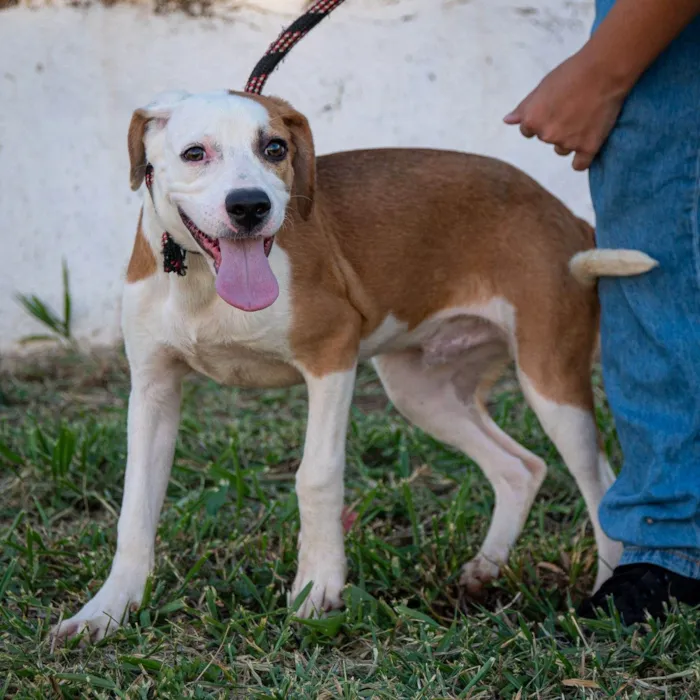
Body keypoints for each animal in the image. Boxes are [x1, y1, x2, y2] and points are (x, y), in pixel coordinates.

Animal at [50, 90, 656, 644]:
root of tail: (567, 214)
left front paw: (317, 588)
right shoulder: (153, 387)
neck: (202, 282)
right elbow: (135, 506)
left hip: (550, 376)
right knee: (521, 467)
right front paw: (107, 610)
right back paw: (485, 570)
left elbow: (315, 476)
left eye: (274, 148)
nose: (250, 206)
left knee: (600, 484)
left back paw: (604, 593)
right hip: (421, 390)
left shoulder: (332, 353)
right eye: (195, 153)